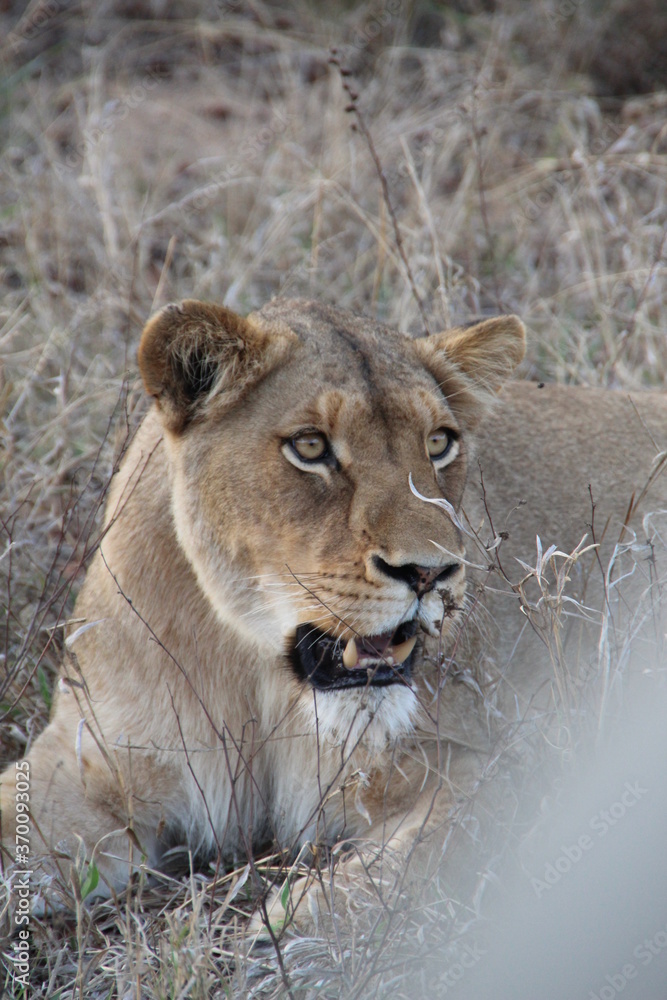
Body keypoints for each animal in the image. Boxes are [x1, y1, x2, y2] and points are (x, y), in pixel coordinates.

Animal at [1, 297, 665, 935]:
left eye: (439, 442)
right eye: (311, 447)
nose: (431, 573)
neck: (260, 676)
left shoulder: (513, 756)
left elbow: (435, 850)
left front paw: (292, 926)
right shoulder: (94, 757)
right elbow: (16, 815)